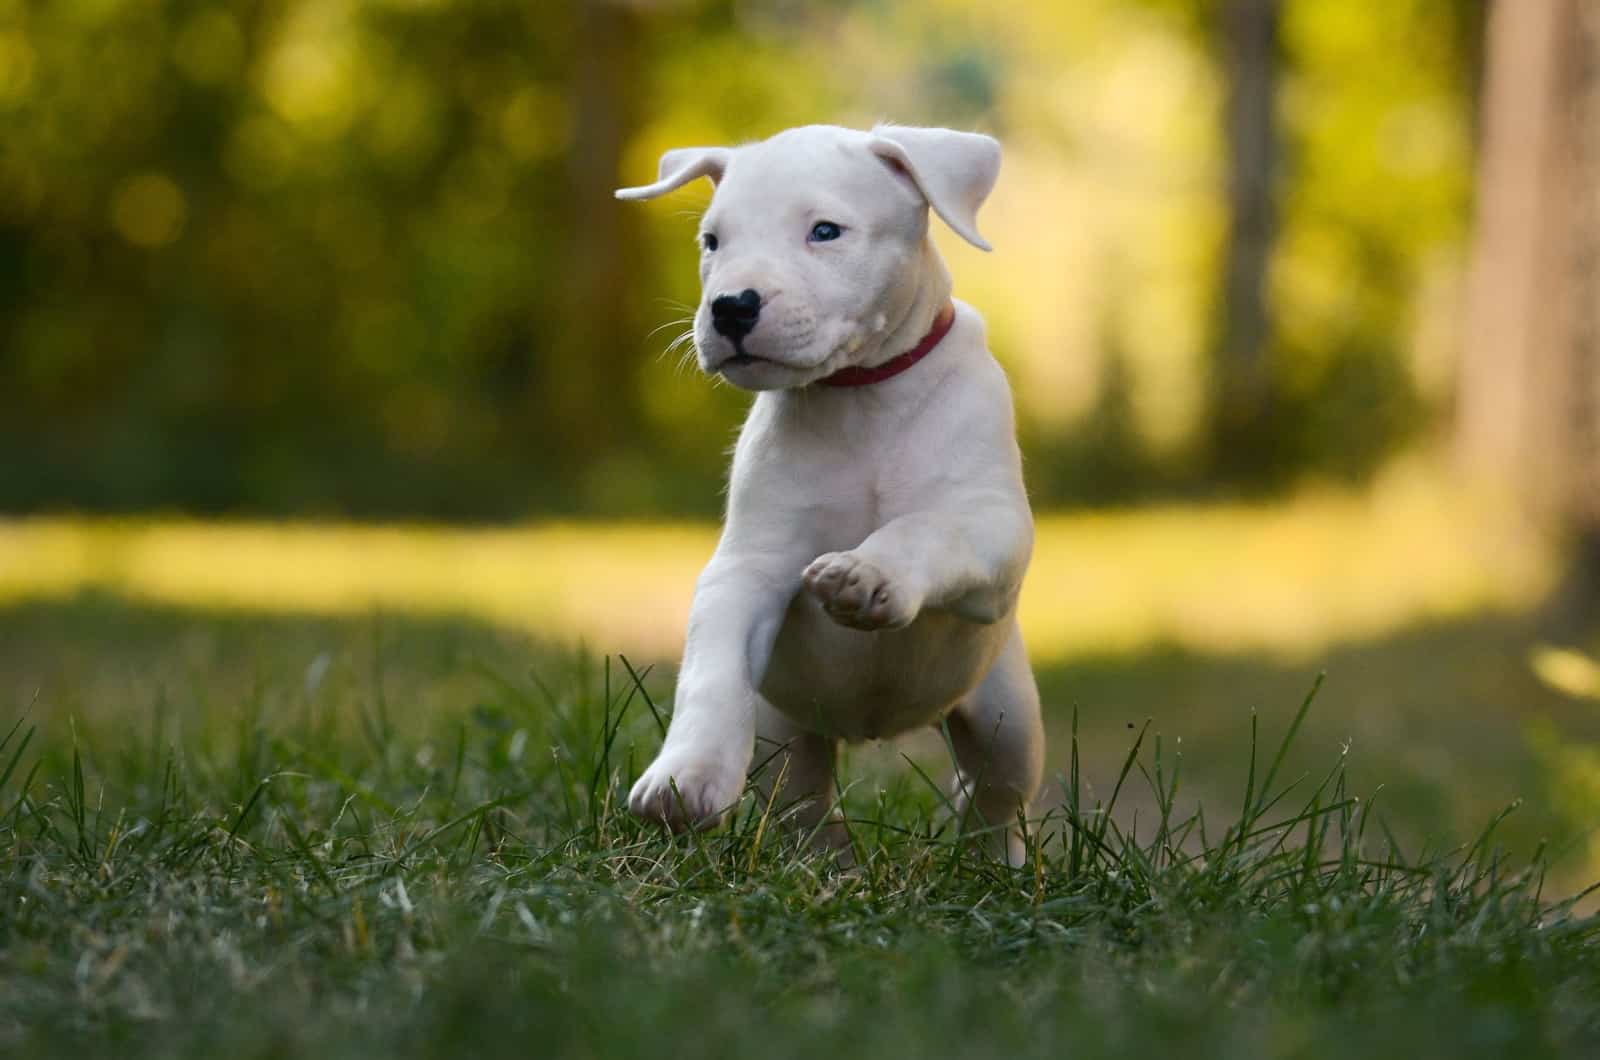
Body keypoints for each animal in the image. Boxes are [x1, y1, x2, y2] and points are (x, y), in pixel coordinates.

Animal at [608, 122, 1036, 864]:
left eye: (826, 231)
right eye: (712, 241)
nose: (731, 307)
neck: (863, 397)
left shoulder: (993, 529)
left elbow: (927, 527)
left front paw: (868, 573)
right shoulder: (747, 567)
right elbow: (710, 668)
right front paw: (684, 775)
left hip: (1008, 717)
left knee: (995, 798)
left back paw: (995, 865)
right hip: (783, 733)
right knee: (802, 801)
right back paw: (826, 866)